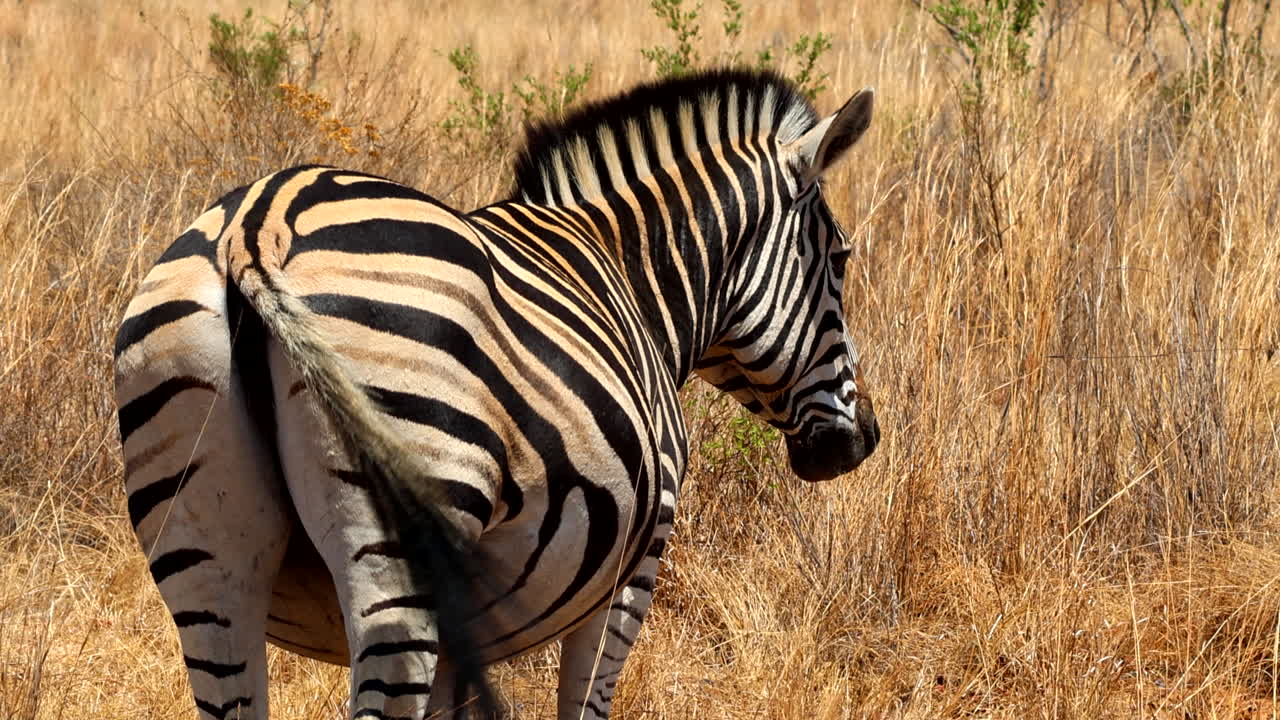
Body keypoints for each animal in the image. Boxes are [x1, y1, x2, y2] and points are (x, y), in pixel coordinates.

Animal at [113, 68, 880, 719]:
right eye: (842, 260)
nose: (863, 440)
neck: (630, 275)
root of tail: (255, 229)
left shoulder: (469, 624)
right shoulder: (636, 564)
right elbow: (586, 701)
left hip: (203, 558)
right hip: (400, 550)